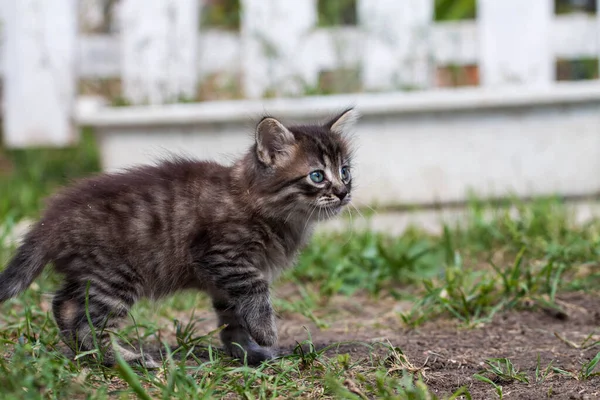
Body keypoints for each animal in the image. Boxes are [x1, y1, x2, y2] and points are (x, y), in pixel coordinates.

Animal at [0, 108, 356, 368]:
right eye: (317, 176)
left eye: (346, 171)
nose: (343, 192)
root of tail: (51, 220)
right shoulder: (223, 256)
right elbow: (256, 290)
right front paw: (266, 333)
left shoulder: (223, 282)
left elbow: (233, 319)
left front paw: (246, 352)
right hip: (115, 277)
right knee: (87, 322)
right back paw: (124, 360)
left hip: (88, 275)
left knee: (63, 305)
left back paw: (83, 352)